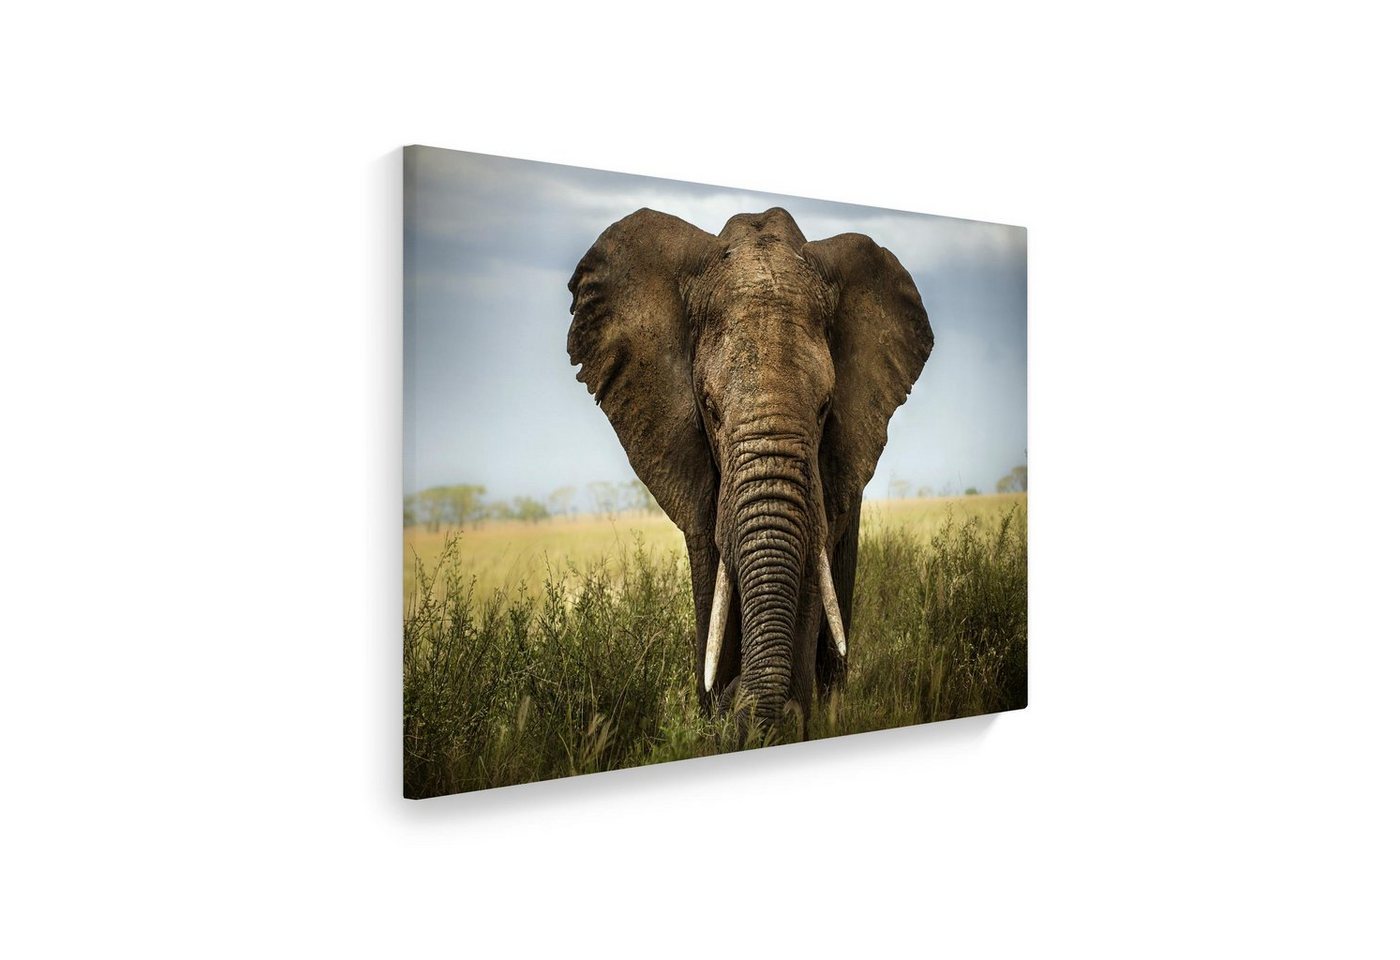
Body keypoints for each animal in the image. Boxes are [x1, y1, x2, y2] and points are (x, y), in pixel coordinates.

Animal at [567, 206, 933, 731]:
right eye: (710, 408)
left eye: (825, 408)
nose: (736, 698)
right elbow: (710, 566)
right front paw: (717, 717)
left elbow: (810, 571)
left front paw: (782, 722)